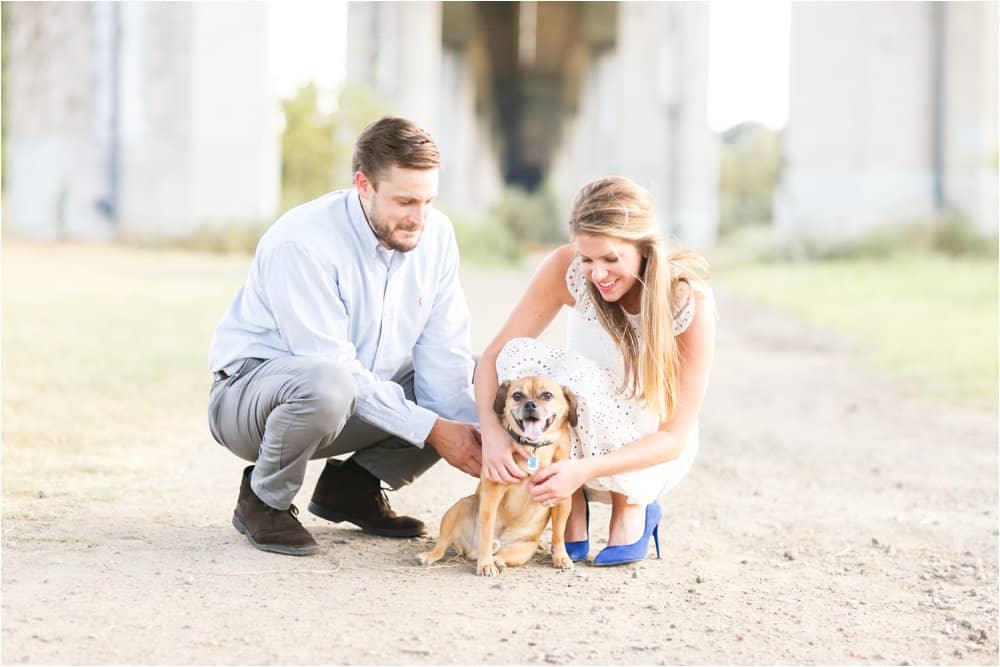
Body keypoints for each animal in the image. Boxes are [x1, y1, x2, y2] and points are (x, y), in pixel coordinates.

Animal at [420, 378, 580, 576]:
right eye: (517, 395)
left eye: (547, 395)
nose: (530, 404)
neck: (534, 449)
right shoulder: (492, 494)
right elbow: (486, 532)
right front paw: (485, 564)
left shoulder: (561, 499)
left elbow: (558, 533)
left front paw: (561, 557)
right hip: (459, 508)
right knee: (443, 544)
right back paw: (432, 556)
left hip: (525, 549)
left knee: (503, 556)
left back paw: (498, 560)